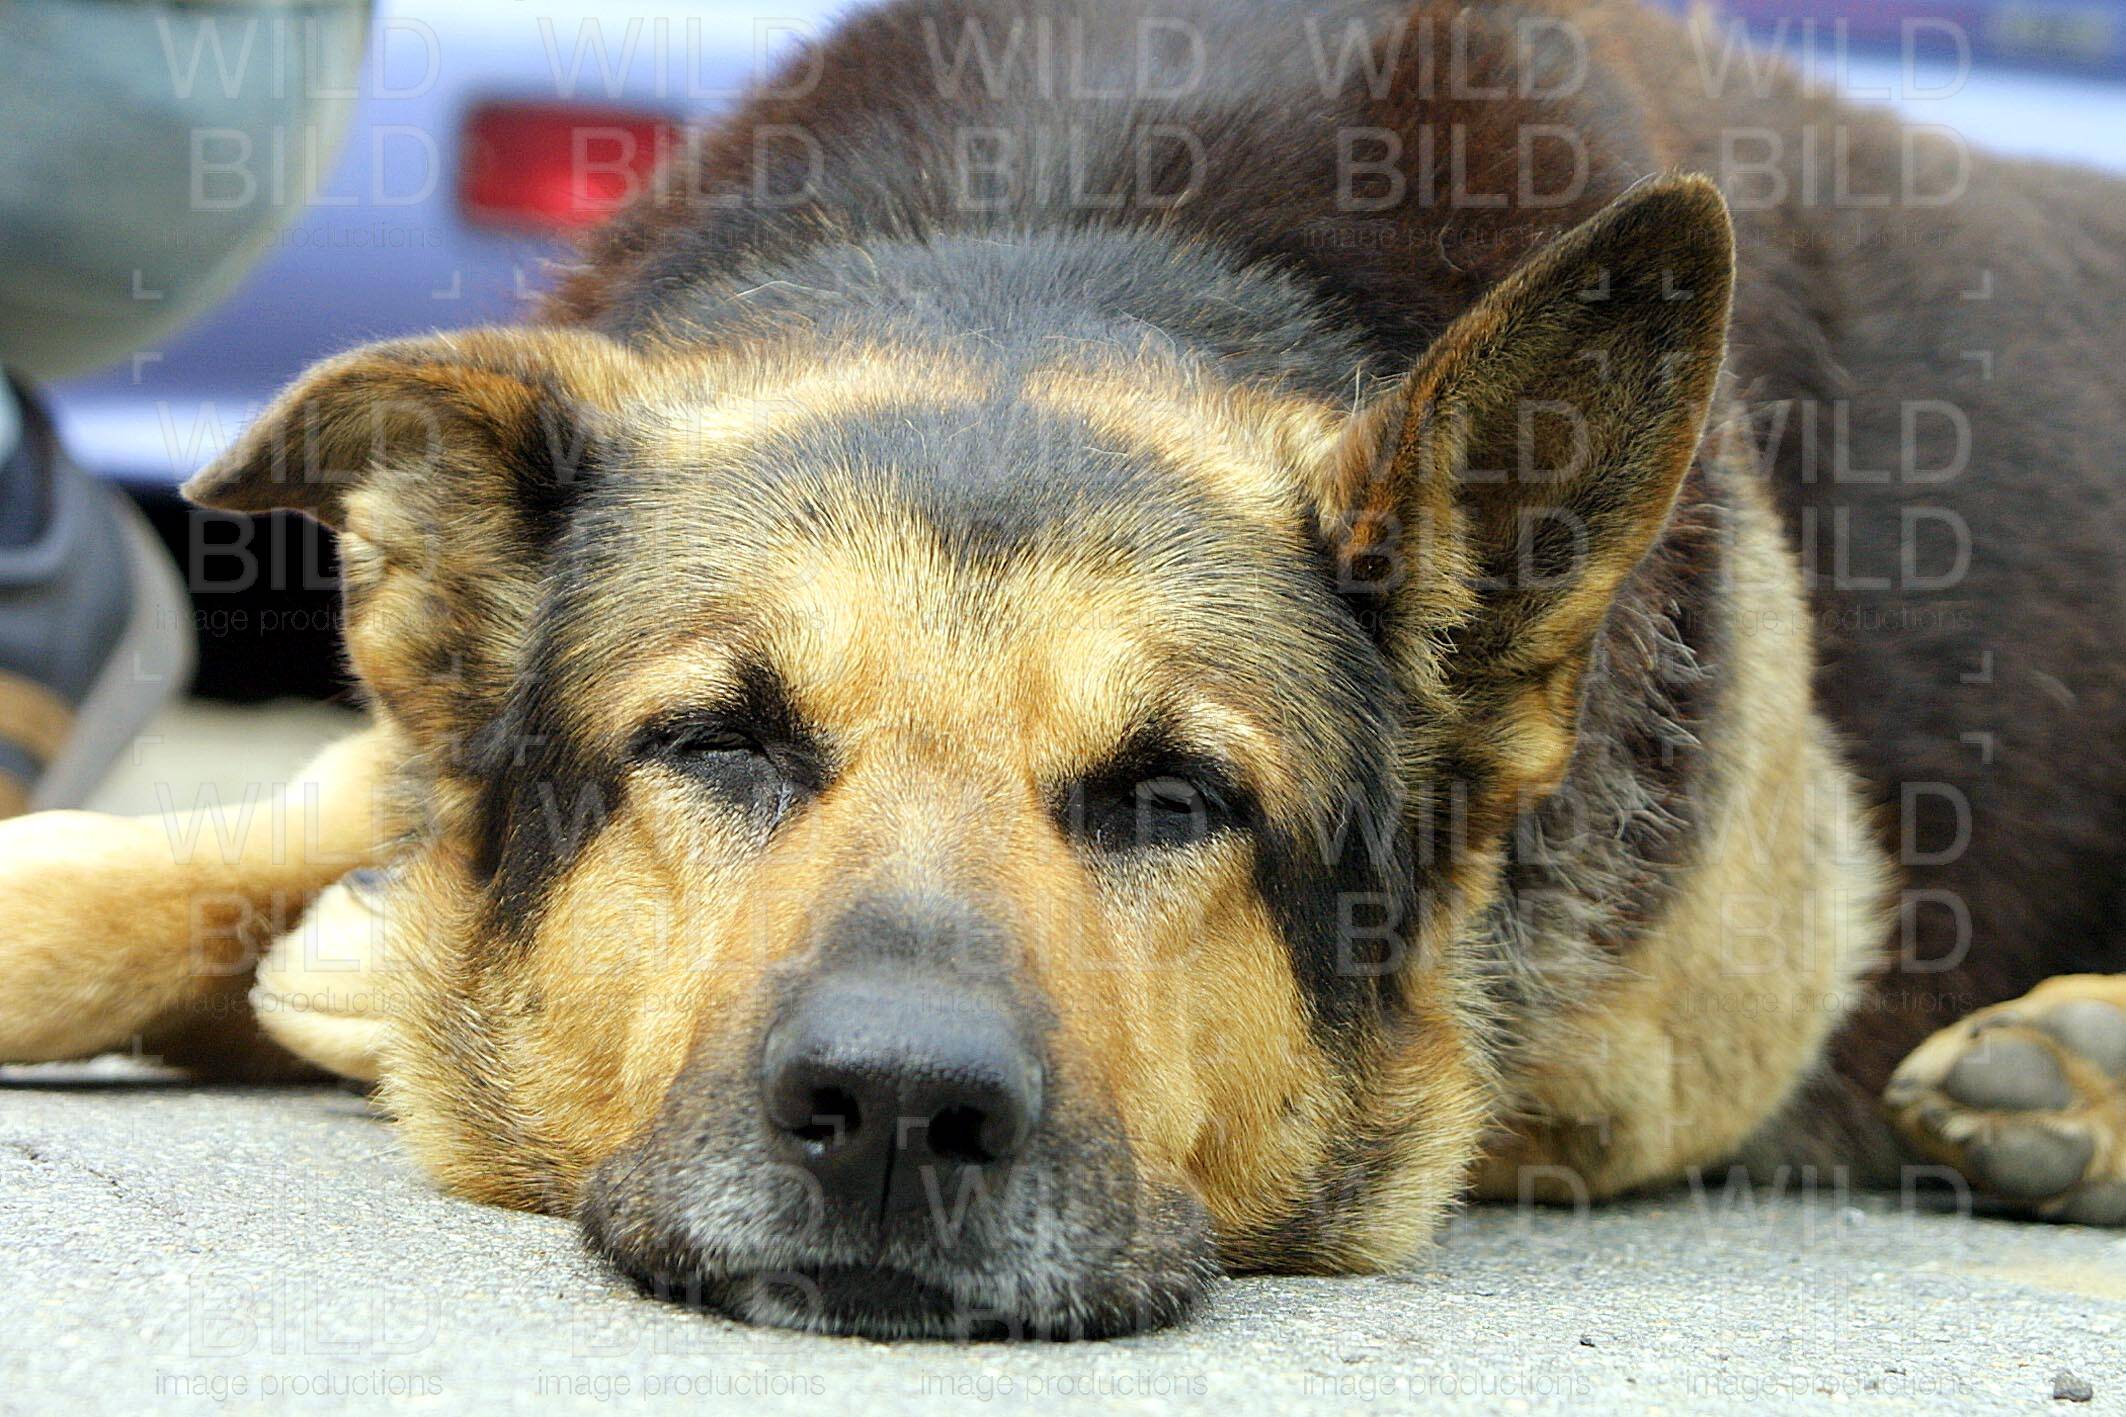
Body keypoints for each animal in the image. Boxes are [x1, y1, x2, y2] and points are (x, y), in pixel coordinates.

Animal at [2, 0, 2122, 1339]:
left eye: (1175, 795)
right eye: (722, 743)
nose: (892, 1113)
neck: (1059, 242)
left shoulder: (1703, 1023)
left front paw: (352, 976)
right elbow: (141, 872)